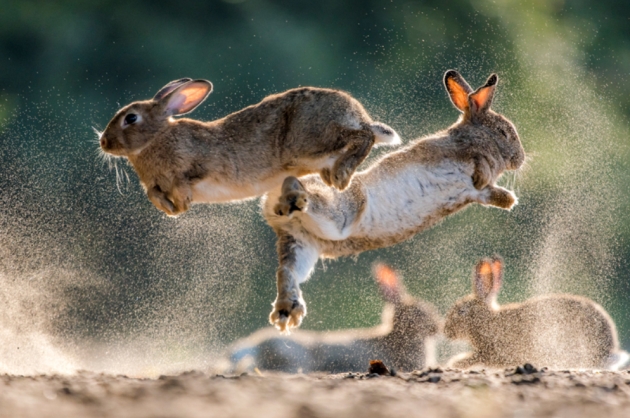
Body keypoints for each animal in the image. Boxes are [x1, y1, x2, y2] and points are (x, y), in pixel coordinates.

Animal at [101, 77, 402, 216]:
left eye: (131, 118)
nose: (103, 142)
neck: (157, 137)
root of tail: (358, 113)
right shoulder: (154, 184)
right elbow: (153, 194)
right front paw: (172, 210)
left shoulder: (202, 162)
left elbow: (188, 178)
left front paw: (182, 201)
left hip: (308, 141)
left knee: (364, 136)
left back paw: (342, 174)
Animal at [262, 70, 528, 332]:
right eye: (503, 132)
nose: (520, 159)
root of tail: (269, 205)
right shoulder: (456, 152)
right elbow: (478, 165)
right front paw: (489, 180)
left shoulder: (474, 192)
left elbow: (486, 192)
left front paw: (509, 201)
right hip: (340, 210)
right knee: (303, 195)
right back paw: (292, 198)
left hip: (303, 243)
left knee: (286, 271)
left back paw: (286, 312)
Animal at [446, 256, 628, 370]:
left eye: (461, 311)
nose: (446, 331)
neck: (487, 319)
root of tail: (608, 352)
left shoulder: (492, 353)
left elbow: (475, 357)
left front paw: (454, 363)